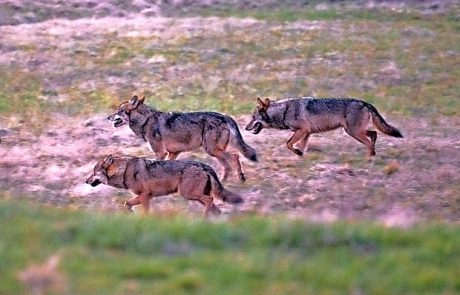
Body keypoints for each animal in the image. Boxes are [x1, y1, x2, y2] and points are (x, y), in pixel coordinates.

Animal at [86, 155, 244, 215]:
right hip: (195, 197)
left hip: (188, 195)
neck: (124, 170)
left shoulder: (145, 196)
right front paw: (131, 214)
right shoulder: (145, 197)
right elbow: (127, 204)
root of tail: (205, 166)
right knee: (215, 208)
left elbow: (143, 211)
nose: (86, 181)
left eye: (93, 172)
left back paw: (203, 218)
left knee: (210, 201)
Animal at [108, 96, 258, 182]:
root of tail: (225, 116)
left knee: (235, 156)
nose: (108, 117)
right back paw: (223, 181)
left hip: (213, 150)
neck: (146, 120)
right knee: (228, 165)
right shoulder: (173, 153)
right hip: (214, 151)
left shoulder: (161, 153)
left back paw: (240, 178)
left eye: (118, 111)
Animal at [244, 97, 402, 157]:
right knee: (374, 134)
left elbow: (288, 144)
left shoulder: (302, 130)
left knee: (370, 141)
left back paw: (369, 158)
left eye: (252, 117)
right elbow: (300, 147)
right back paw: (373, 155)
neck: (284, 111)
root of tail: (364, 102)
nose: (245, 128)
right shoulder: (307, 133)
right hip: (354, 131)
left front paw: (297, 153)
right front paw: (301, 156)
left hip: (353, 132)